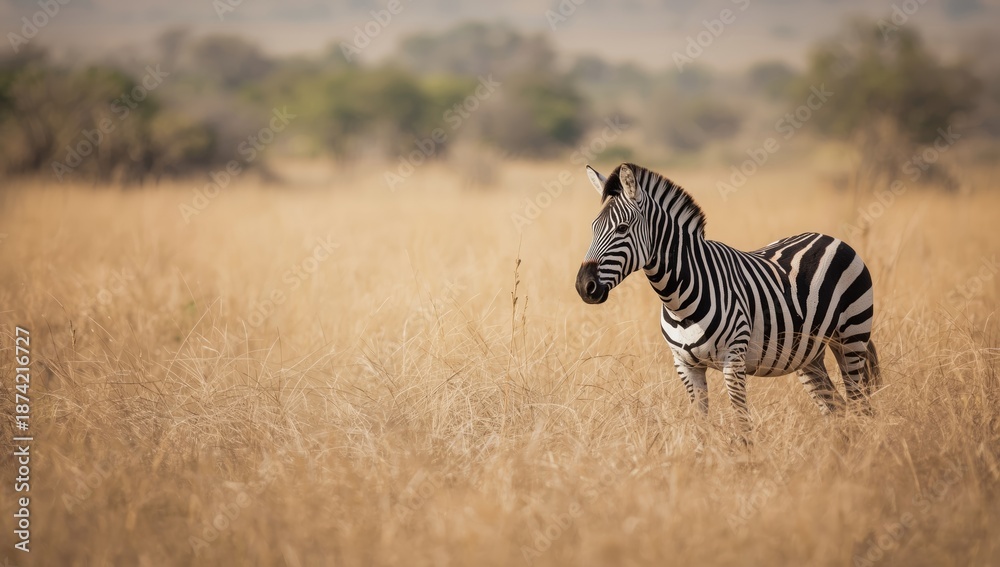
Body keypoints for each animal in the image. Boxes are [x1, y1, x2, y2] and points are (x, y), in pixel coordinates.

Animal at [575, 162, 880, 426]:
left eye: (622, 229)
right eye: (592, 228)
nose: (583, 286)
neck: (679, 301)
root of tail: (830, 237)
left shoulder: (733, 360)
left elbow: (742, 423)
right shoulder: (685, 366)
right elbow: (701, 424)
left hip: (852, 336)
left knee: (859, 405)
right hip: (809, 353)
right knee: (837, 407)